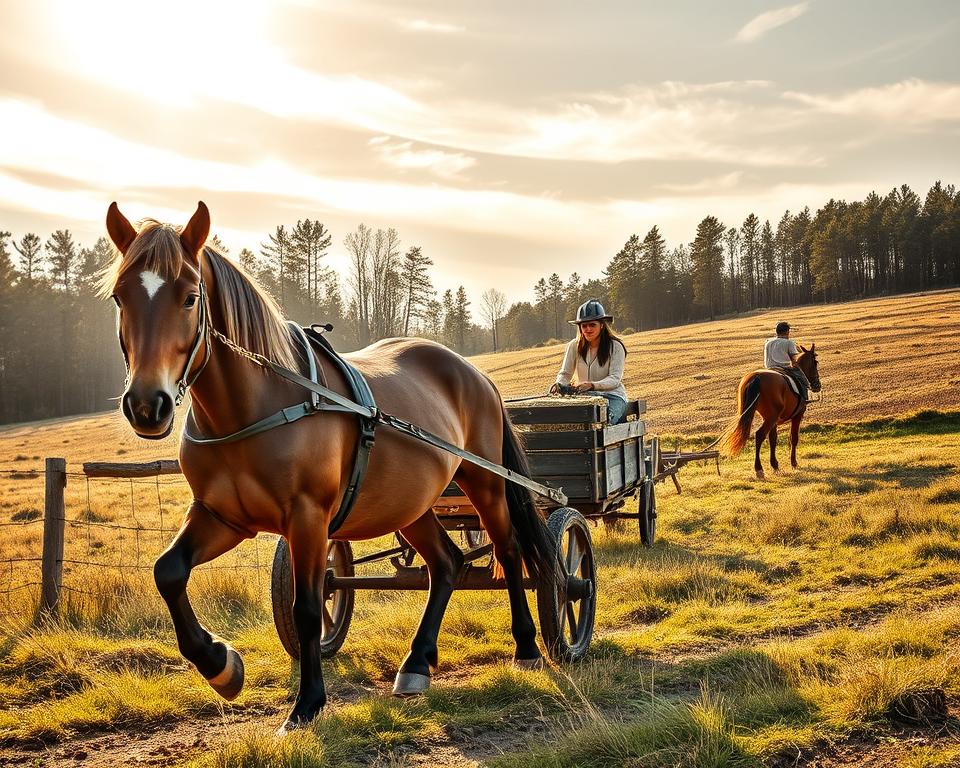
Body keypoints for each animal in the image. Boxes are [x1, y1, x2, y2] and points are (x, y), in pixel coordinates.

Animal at [102, 201, 560, 733]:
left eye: (190, 297)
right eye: (119, 297)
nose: (146, 405)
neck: (257, 405)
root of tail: (472, 371)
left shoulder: (308, 517)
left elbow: (305, 606)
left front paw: (307, 703)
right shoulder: (223, 517)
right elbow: (168, 571)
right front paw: (221, 665)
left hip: (485, 482)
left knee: (509, 551)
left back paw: (526, 646)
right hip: (412, 505)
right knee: (446, 563)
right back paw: (417, 662)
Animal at [719, 347, 821, 479]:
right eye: (815, 362)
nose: (817, 385)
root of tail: (756, 377)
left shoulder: (774, 421)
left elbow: (773, 440)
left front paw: (775, 465)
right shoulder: (797, 416)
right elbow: (794, 438)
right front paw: (793, 463)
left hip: (763, 417)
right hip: (771, 418)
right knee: (759, 435)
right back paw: (759, 469)